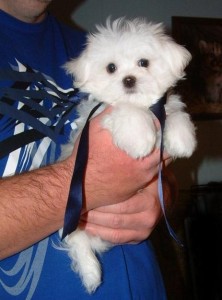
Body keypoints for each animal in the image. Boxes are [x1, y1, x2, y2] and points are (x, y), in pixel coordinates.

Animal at [60, 17, 196, 292]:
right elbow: (127, 111)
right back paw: (92, 273)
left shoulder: (164, 106)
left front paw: (183, 139)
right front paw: (140, 139)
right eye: (111, 68)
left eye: (143, 63)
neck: (143, 104)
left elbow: (175, 113)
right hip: (76, 208)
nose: (129, 80)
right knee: (77, 240)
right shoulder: (103, 117)